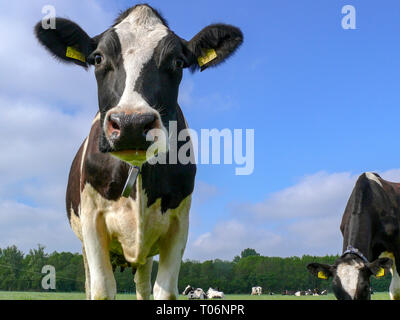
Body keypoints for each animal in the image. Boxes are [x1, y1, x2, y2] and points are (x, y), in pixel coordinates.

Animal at [33, 3, 244, 300]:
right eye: (97, 58)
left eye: (178, 62)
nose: (131, 124)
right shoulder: (92, 220)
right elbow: (102, 289)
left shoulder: (179, 223)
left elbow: (164, 291)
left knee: (143, 287)